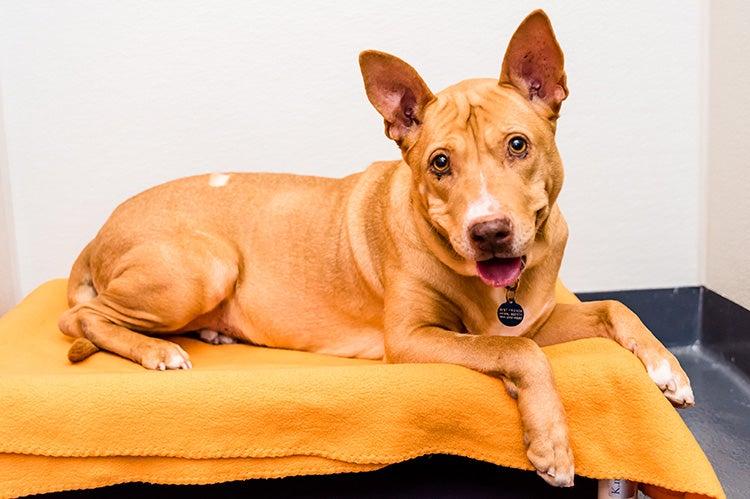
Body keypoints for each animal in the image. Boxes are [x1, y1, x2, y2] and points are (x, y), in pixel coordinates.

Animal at [58, 10, 692, 488]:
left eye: (517, 144)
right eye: (440, 163)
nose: (490, 231)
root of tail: (98, 232)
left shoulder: (532, 318)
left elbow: (610, 309)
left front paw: (668, 371)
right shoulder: (413, 340)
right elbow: (518, 353)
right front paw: (552, 443)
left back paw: (211, 333)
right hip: (205, 266)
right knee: (80, 318)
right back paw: (156, 351)